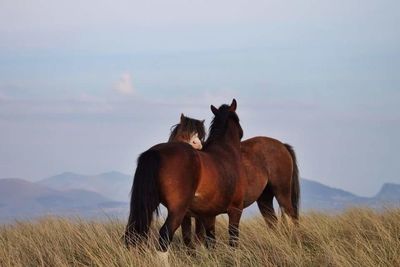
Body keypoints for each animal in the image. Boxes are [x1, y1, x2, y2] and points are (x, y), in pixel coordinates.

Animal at [124, 99, 244, 253]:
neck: (226, 150)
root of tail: (155, 152)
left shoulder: (208, 215)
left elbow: (208, 241)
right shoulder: (235, 210)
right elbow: (233, 240)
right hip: (177, 210)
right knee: (165, 235)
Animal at [169, 114, 300, 247]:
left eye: (201, 137)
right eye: (183, 134)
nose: (197, 146)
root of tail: (282, 145)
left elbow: (198, 237)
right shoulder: (186, 215)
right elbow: (188, 238)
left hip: (282, 193)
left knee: (291, 217)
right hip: (265, 198)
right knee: (272, 222)